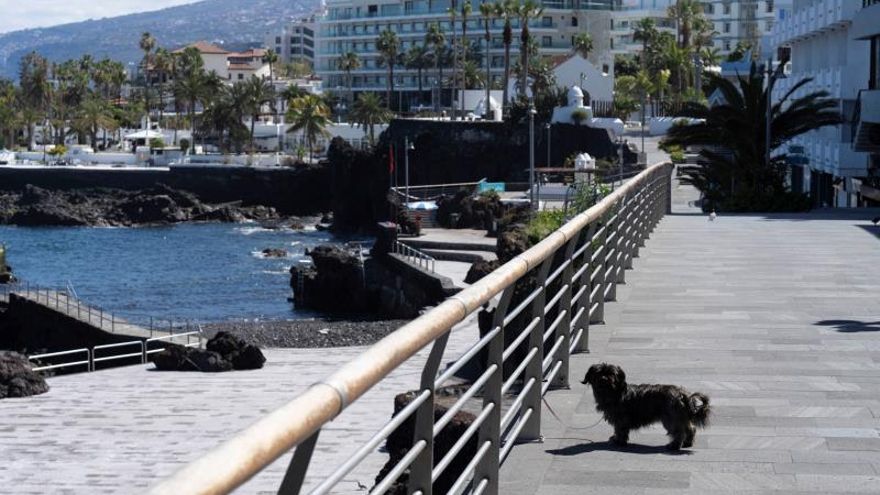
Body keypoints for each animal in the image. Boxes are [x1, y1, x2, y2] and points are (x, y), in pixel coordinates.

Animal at [580, 362, 712, 452]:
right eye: (598, 373)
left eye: (611, 374)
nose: (604, 379)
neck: (613, 392)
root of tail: (682, 394)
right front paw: (617, 439)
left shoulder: (621, 419)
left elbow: (620, 430)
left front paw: (619, 441)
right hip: (680, 417)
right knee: (691, 429)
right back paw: (687, 443)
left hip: (671, 418)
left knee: (679, 432)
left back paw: (674, 446)